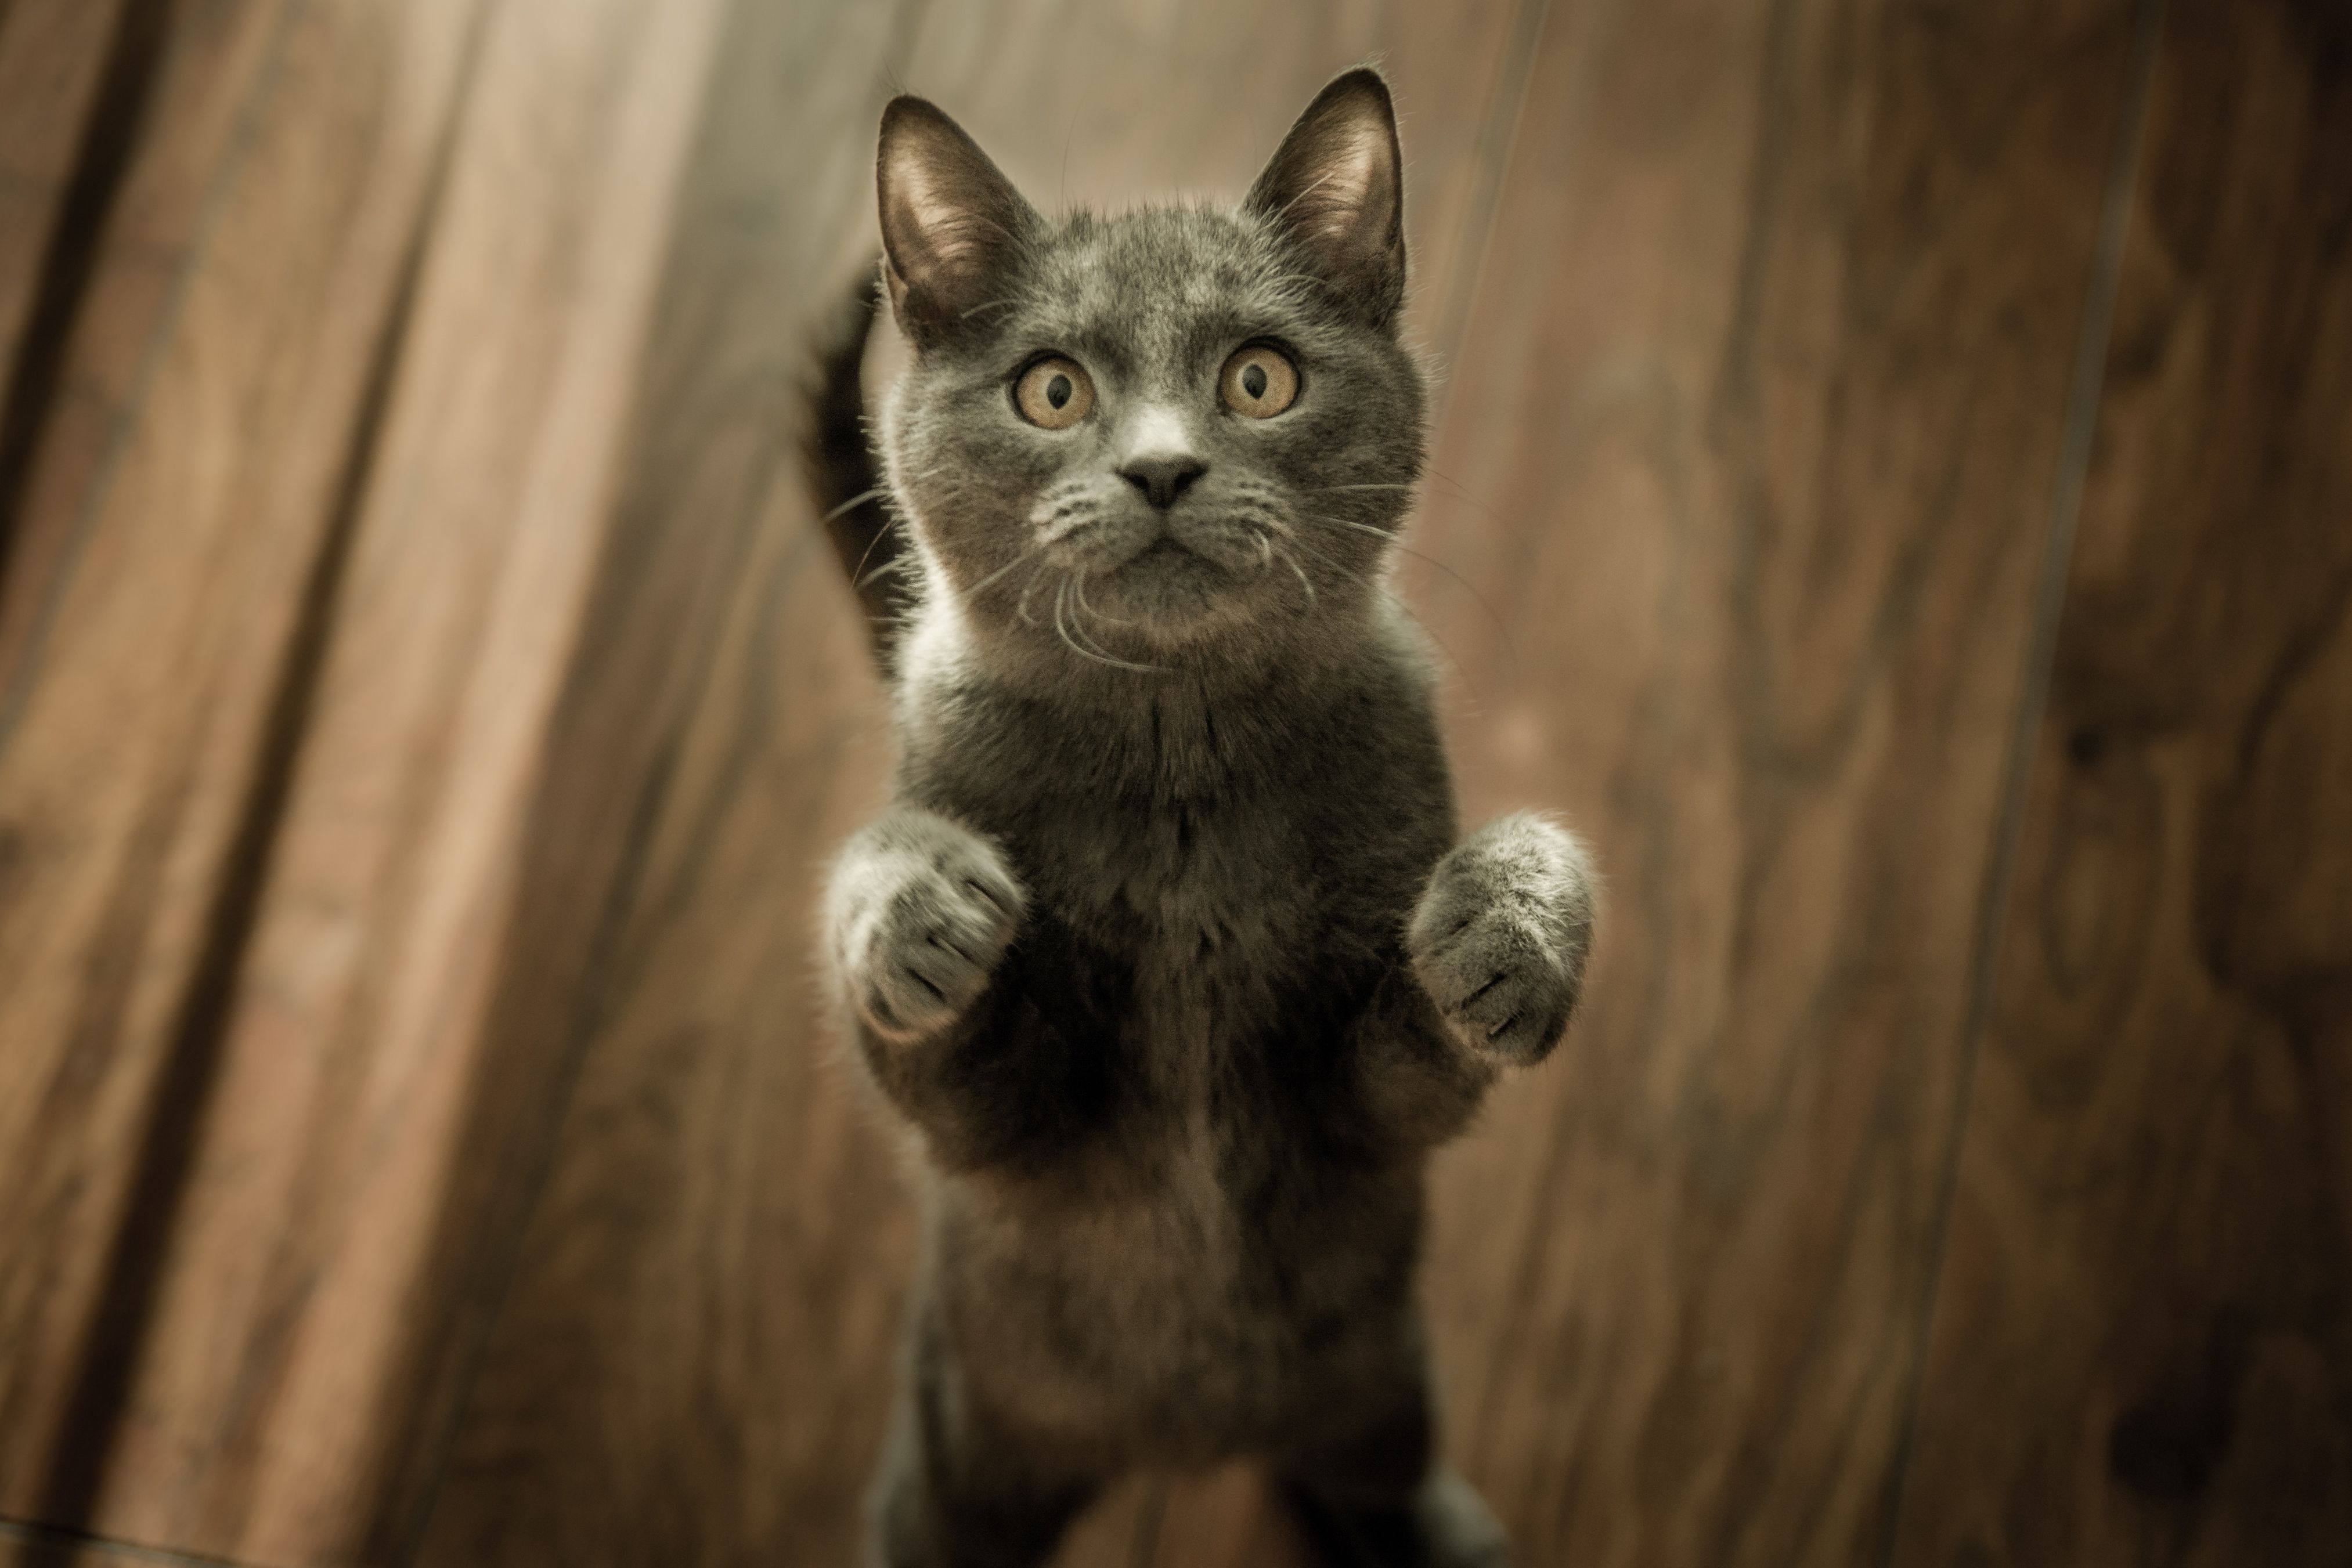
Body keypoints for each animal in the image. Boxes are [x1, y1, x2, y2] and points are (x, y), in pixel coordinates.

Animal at [809, 64, 1599, 1568]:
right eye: (1052, 389)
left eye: (1258, 376)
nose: (1163, 469)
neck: (1177, 767)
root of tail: (1185, 1444)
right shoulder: (998, 1143)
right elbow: (933, 1048)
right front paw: (921, 907)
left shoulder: (1359, 1123)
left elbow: (1424, 1049)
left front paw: (1511, 929)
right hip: (958, 1437)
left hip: (1378, 1383)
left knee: (1380, 1475)